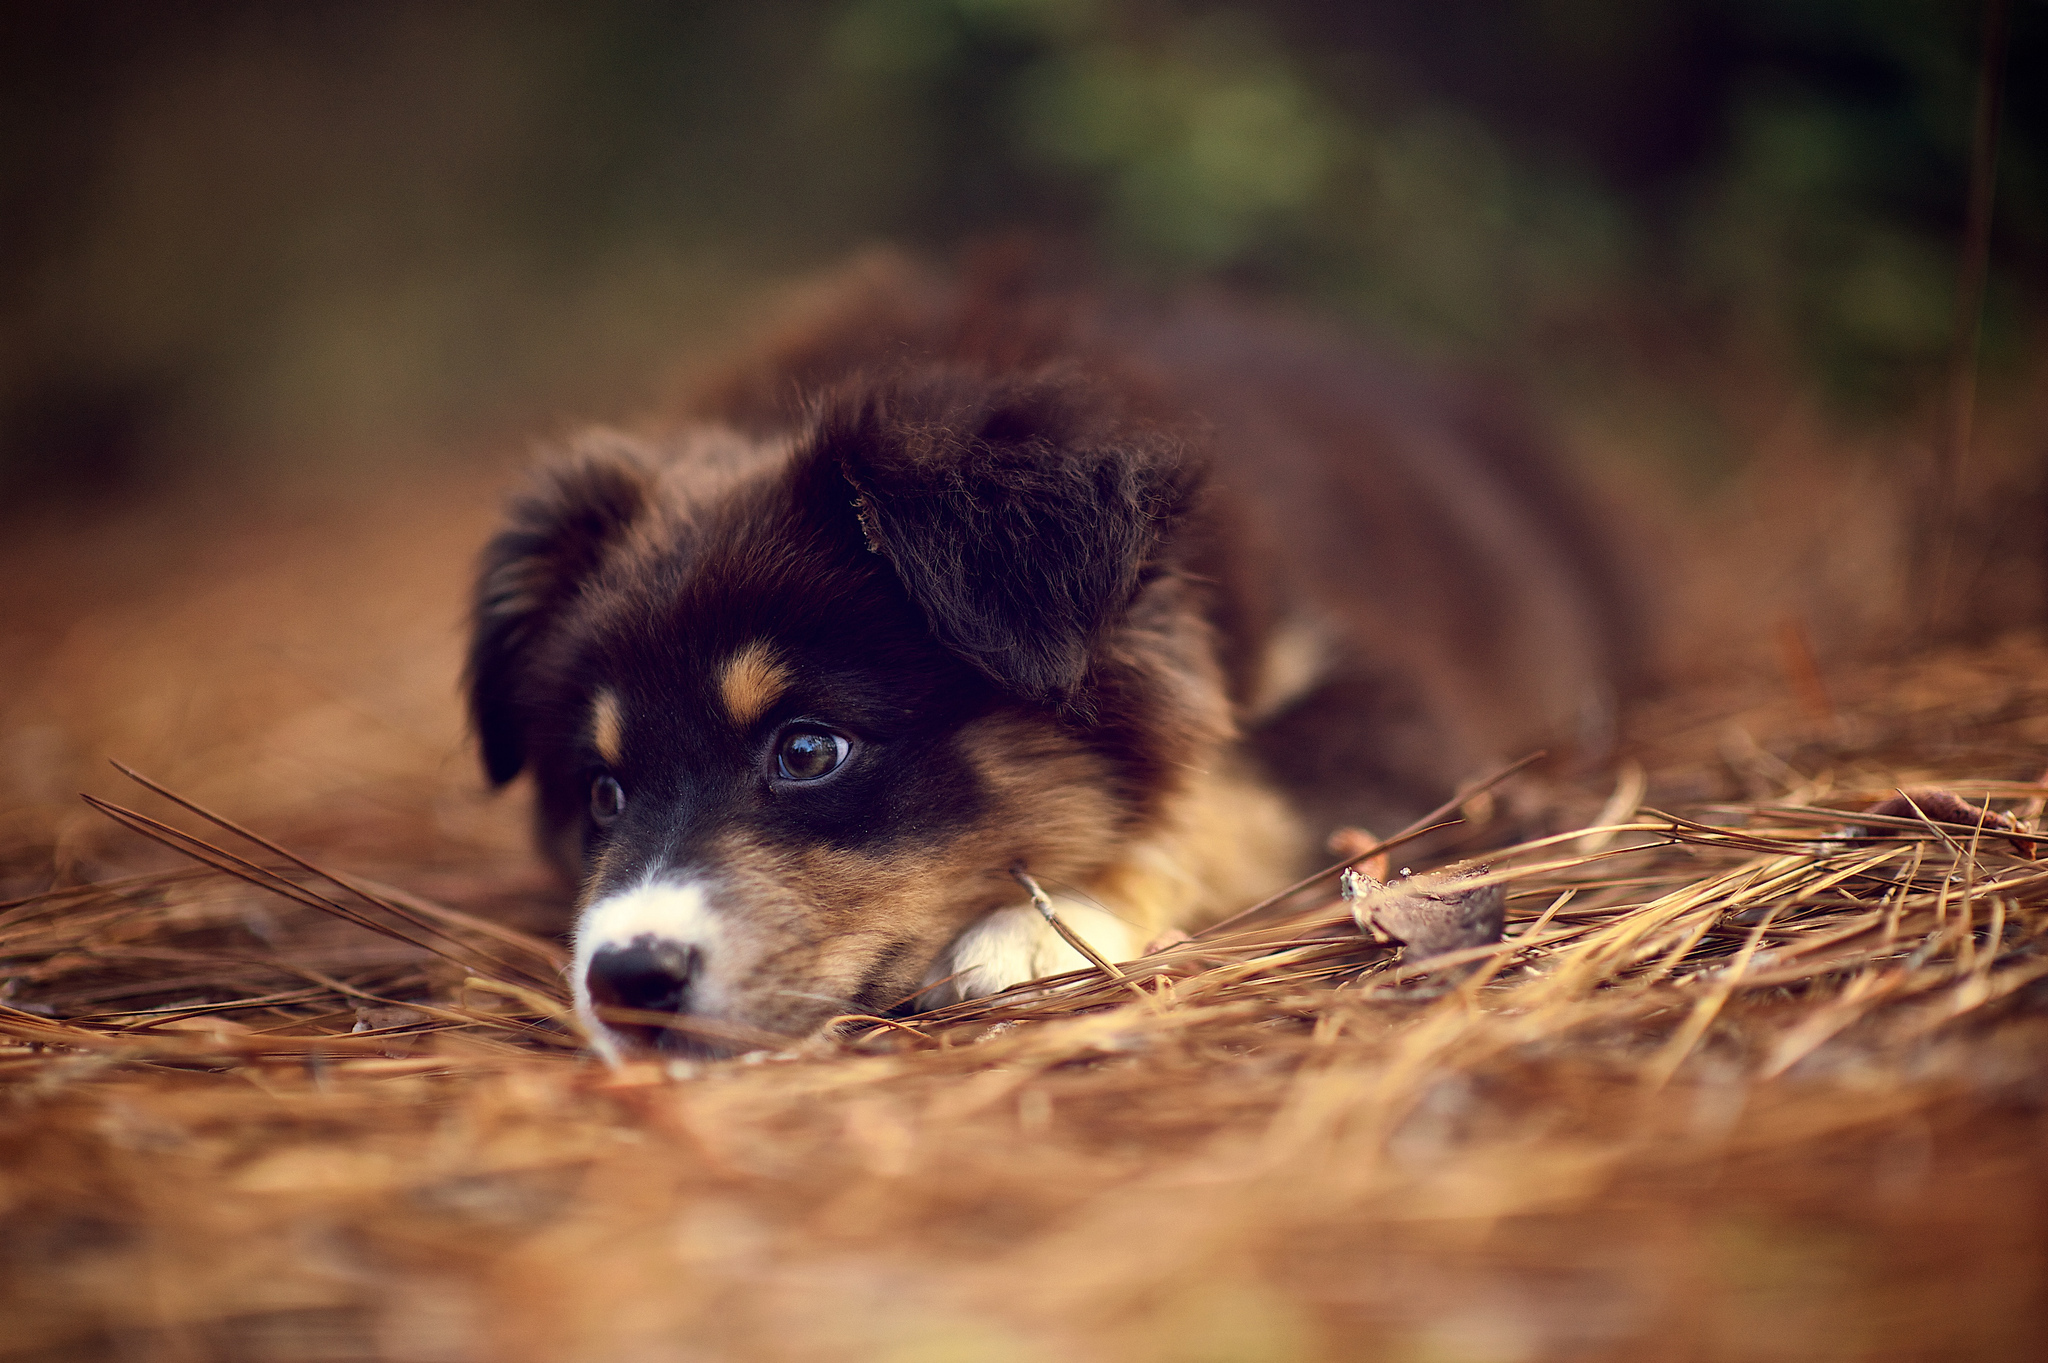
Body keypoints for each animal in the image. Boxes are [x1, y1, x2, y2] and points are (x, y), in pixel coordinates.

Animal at [468, 254, 1630, 1064]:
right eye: (602, 791)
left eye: (806, 750)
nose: (626, 980)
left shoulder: (1388, 708)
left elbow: (1225, 795)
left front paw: (1048, 922)